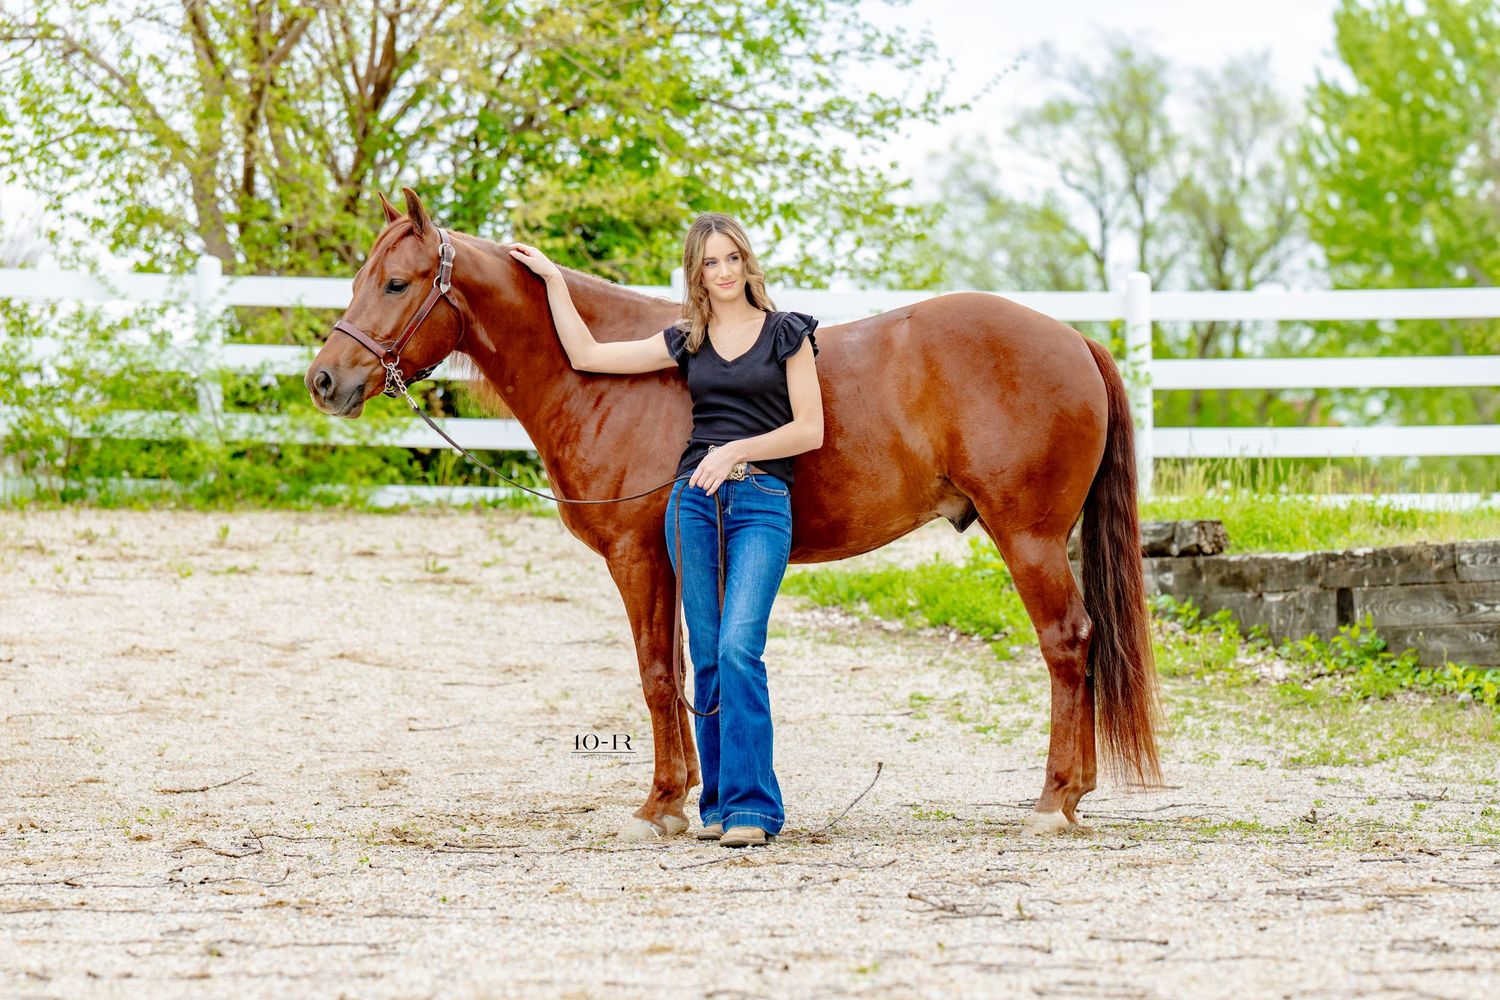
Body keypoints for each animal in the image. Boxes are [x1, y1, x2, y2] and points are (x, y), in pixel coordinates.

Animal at [305, 187, 1161, 841]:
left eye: (397, 283)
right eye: (359, 278)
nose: (324, 381)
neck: (604, 378)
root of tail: (1075, 339)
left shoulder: (637, 556)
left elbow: (655, 674)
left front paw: (657, 806)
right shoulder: (680, 556)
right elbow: (686, 669)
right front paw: (688, 798)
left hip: (1029, 537)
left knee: (1066, 643)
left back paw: (1054, 801)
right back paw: (1075, 796)